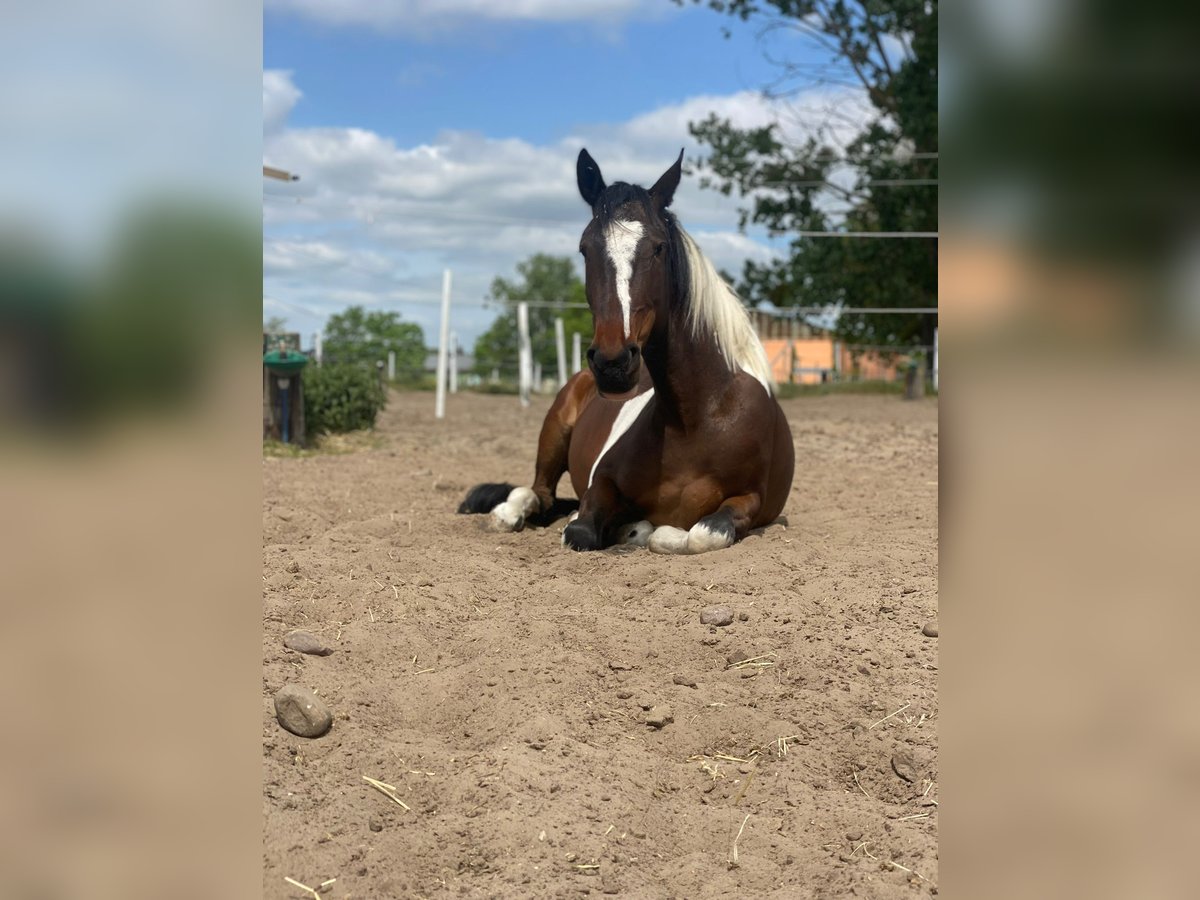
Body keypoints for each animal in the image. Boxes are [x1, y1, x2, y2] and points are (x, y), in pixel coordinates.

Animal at [453, 150, 792, 556]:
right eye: (585, 248)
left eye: (658, 247)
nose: (612, 363)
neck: (694, 419)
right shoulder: (602, 482)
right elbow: (582, 530)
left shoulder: (752, 501)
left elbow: (699, 533)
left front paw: (647, 530)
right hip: (554, 431)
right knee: (537, 494)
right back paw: (507, 513)